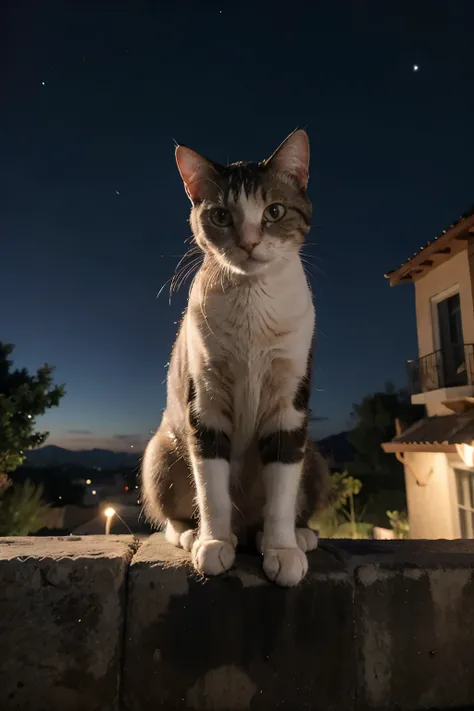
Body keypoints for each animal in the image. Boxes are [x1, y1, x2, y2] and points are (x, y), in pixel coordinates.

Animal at [141, 131, 328, 588]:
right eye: (222, 216)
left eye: (274, 211)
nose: (248, 242)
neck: (251, 304)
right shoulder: (205, 402)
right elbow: (211, 488)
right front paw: (212, 544)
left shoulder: (289, 407)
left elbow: (281, 489)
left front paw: (282, 549)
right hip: (159, 453)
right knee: (171, 513)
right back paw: (196, 535)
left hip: (315, 456)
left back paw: (293, 535)